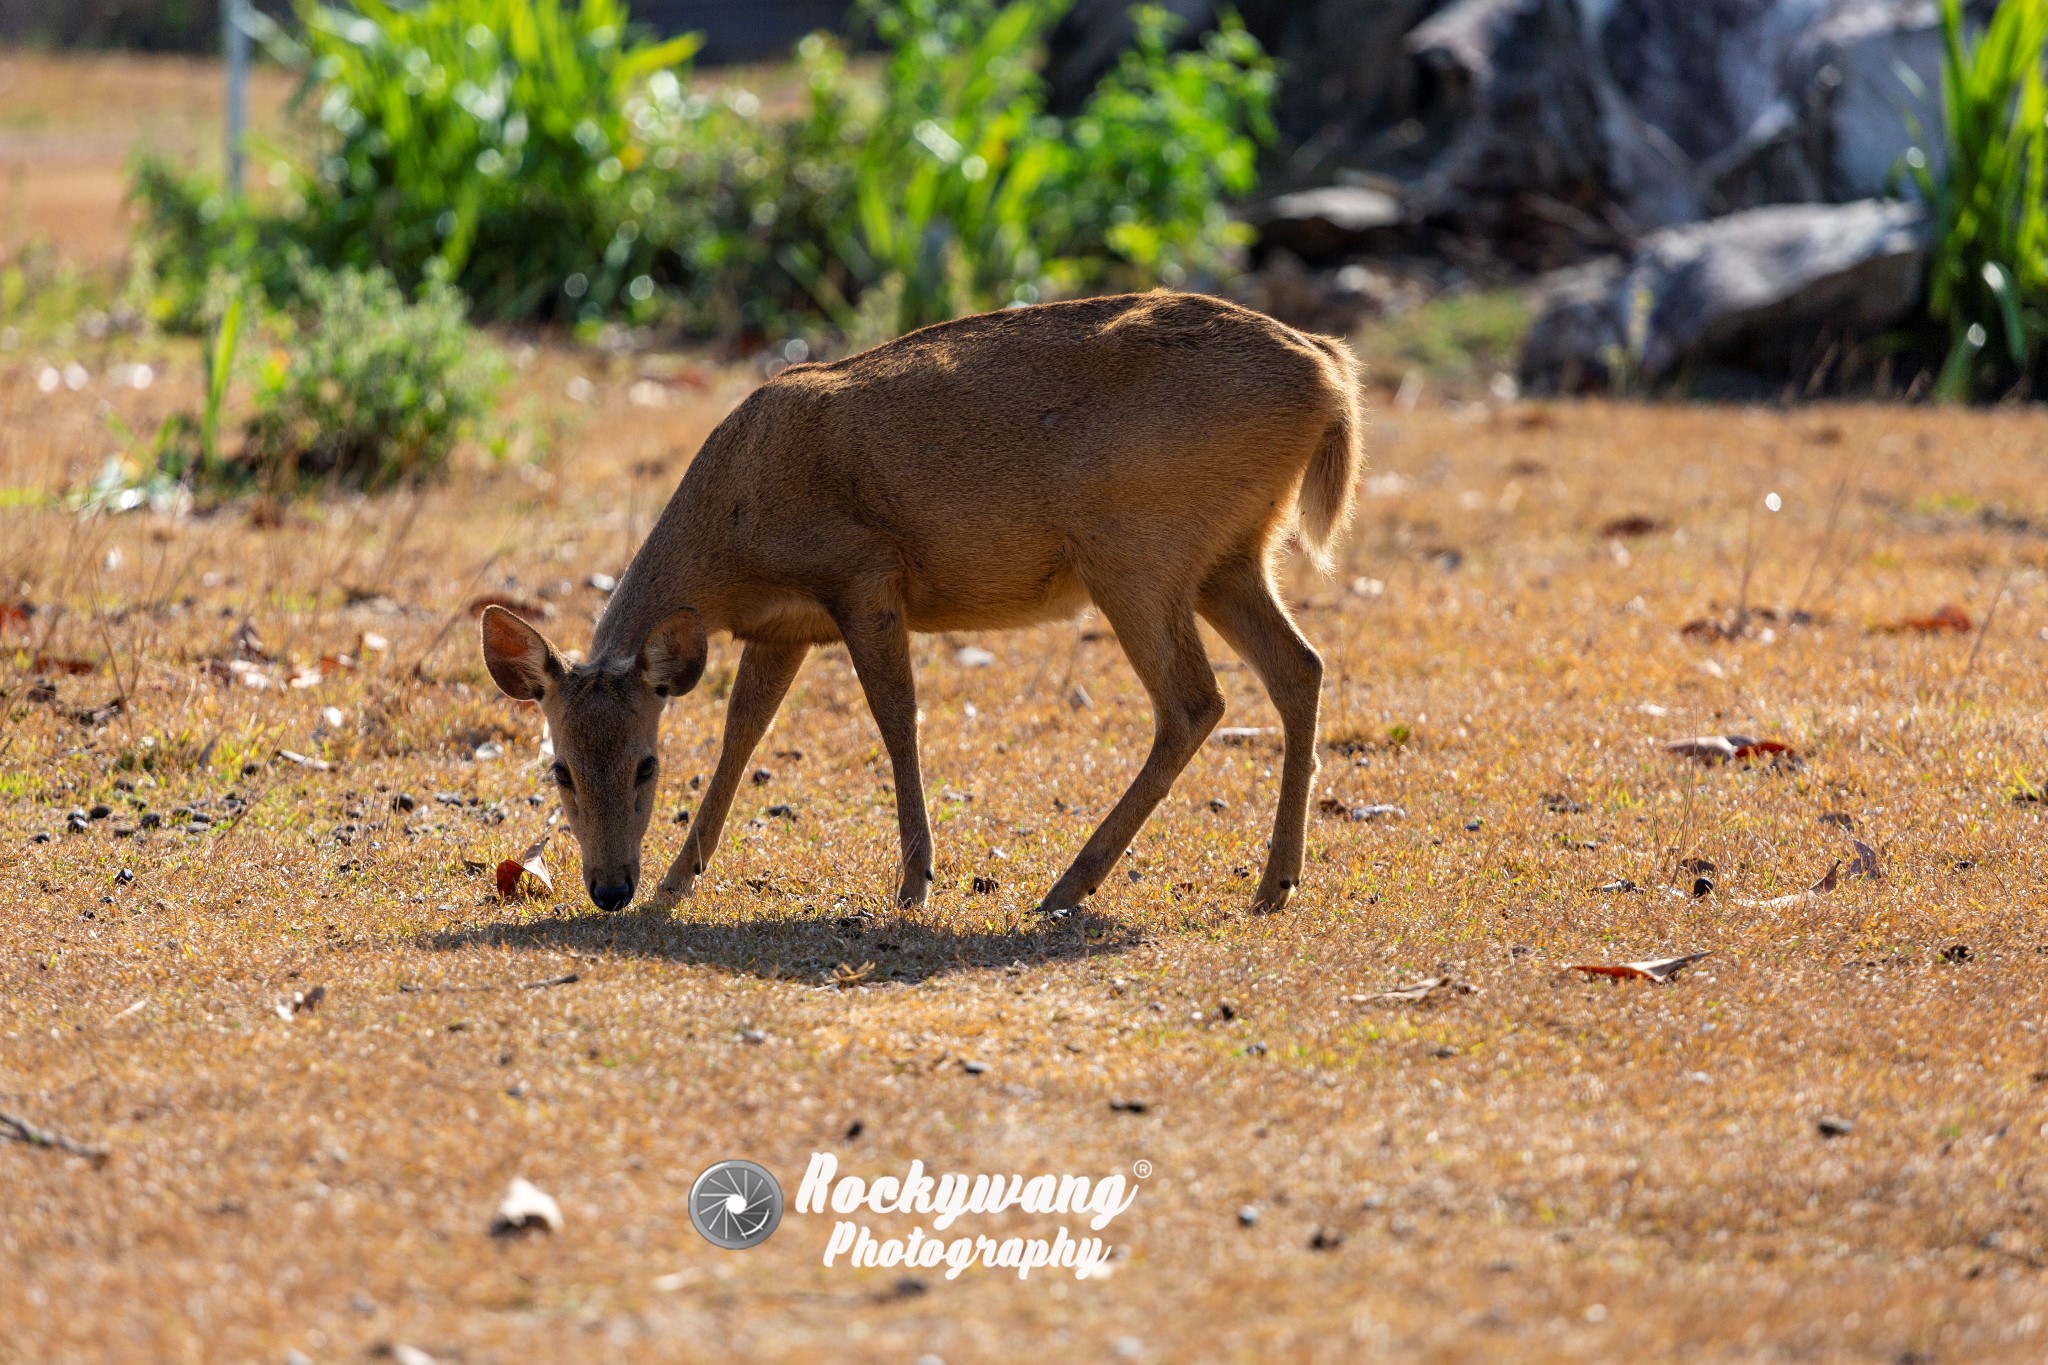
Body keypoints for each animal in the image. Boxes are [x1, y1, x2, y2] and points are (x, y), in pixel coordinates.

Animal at [477, 294, 1359, 925]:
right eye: (559, 768)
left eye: (647, 764)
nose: (609, 887)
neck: (732, 528)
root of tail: (1332, 375)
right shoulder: (783, 625)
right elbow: (741, 732)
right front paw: (676, 880)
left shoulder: (865, 574)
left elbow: (896, 718)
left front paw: (915, 880)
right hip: (1231, 555)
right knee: (1300, 666)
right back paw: (1273, 884)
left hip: (1137, 544)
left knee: (1193, 699)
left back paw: (1068, 885)